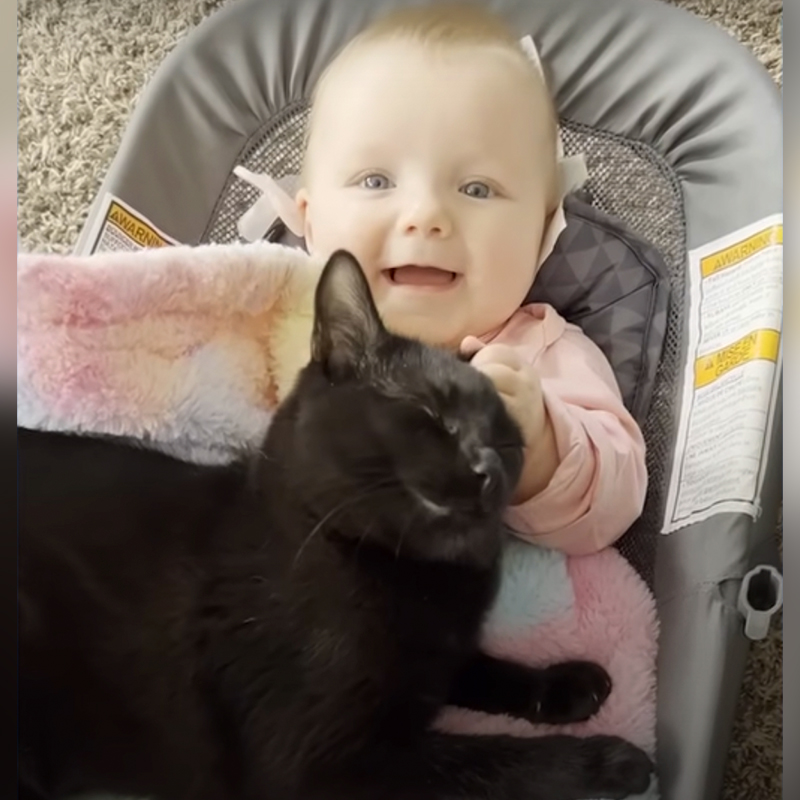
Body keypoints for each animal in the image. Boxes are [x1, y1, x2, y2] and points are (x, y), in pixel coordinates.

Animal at [18, 250, 652, 800]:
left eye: (509, 444)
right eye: (433, 415)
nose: (488, 469)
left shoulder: (433, 656)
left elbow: (480, 669)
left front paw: (566, 685)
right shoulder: (325, 765)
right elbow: (492, 762)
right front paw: (608, 762)